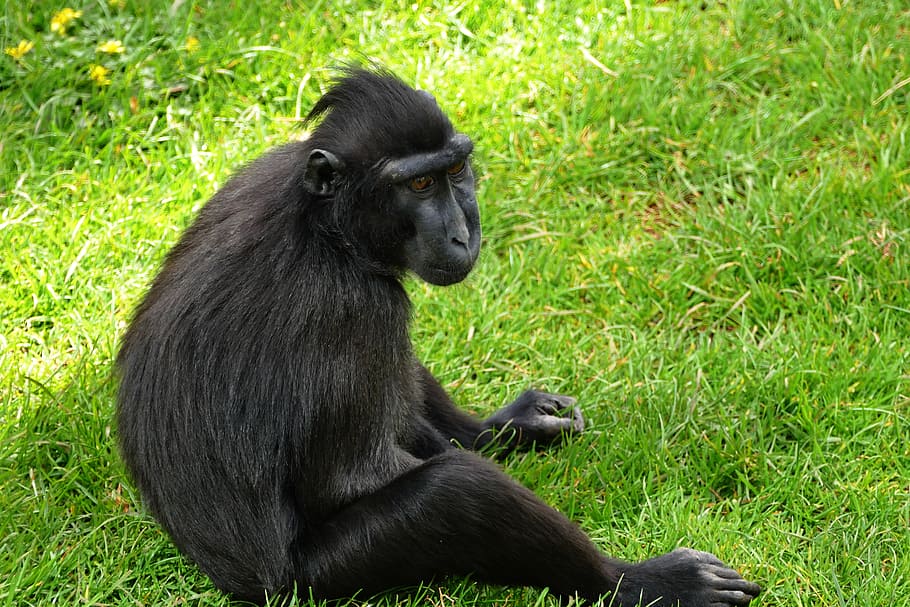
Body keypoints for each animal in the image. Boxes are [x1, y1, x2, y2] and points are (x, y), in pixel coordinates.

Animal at [116, 66, 761, 606]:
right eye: (419, 185)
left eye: (453, 172)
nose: (461, 233)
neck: (326, 225)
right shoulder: (356, 306)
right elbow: (347, 480)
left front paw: (508, 427)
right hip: (321, 579)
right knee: (457, 489)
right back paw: (637, 583)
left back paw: (502, 431)